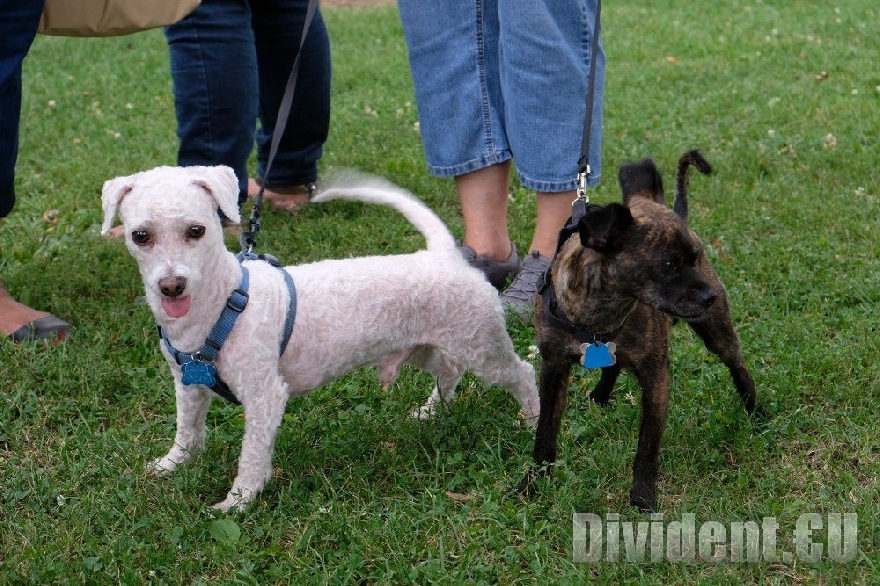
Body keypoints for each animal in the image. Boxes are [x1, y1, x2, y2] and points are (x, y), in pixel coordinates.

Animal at [100, 163, 540, 506]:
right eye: (140, 236)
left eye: (197, 230)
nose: (171, 286)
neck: (222, 302)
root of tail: (444, 255)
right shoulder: (187, 383)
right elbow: (187, 431)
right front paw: (170, 465)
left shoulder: (264, 396)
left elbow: (252, 456)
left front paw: (238, 501)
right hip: (427, 346)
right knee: (449, 372)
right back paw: (432, 411)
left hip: (481, 345)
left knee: (523, 373)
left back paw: (533, 422)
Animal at [520, 152, 760, 512]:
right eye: (668, 264)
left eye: (695, 255)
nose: (710, 297)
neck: (598, 318)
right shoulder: (553, 369)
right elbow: (545, 433)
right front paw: (534, 481)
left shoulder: (656, 377)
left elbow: (647, 446)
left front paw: (643, 495)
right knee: (614, 364)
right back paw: (600, 396)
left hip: (717, 332)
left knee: (738, 365)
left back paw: (757, 413)